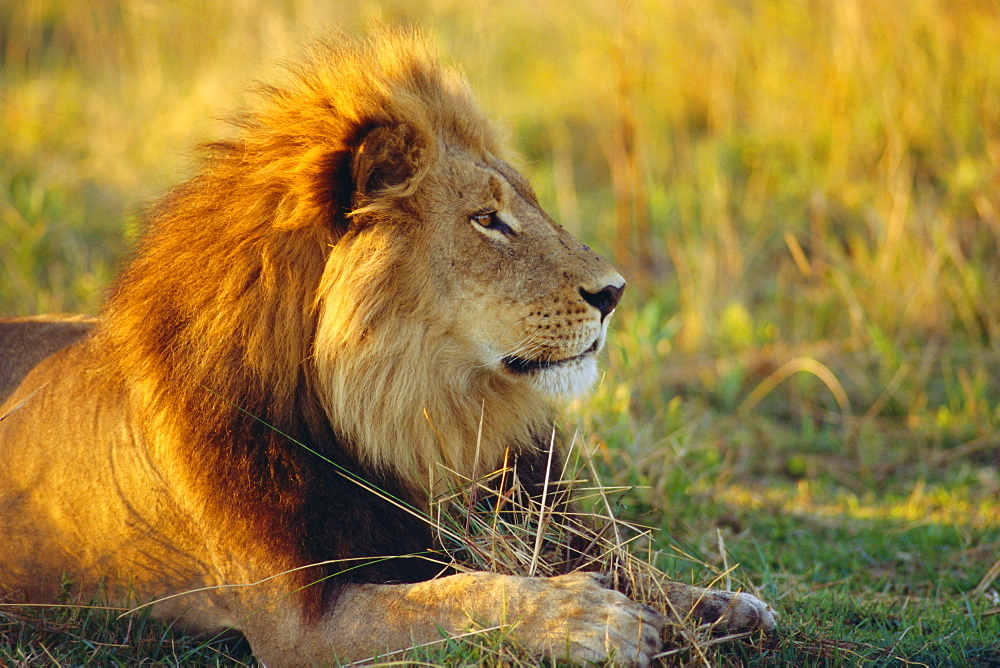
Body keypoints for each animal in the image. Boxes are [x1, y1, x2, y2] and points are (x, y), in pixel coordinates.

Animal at [0, 30, 772, 664]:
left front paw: (721, 604)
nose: (614, 292)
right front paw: (589, 619)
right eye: (487, 219)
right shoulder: (298, 623)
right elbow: (456, 596)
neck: (406, 412)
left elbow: (628, 569)